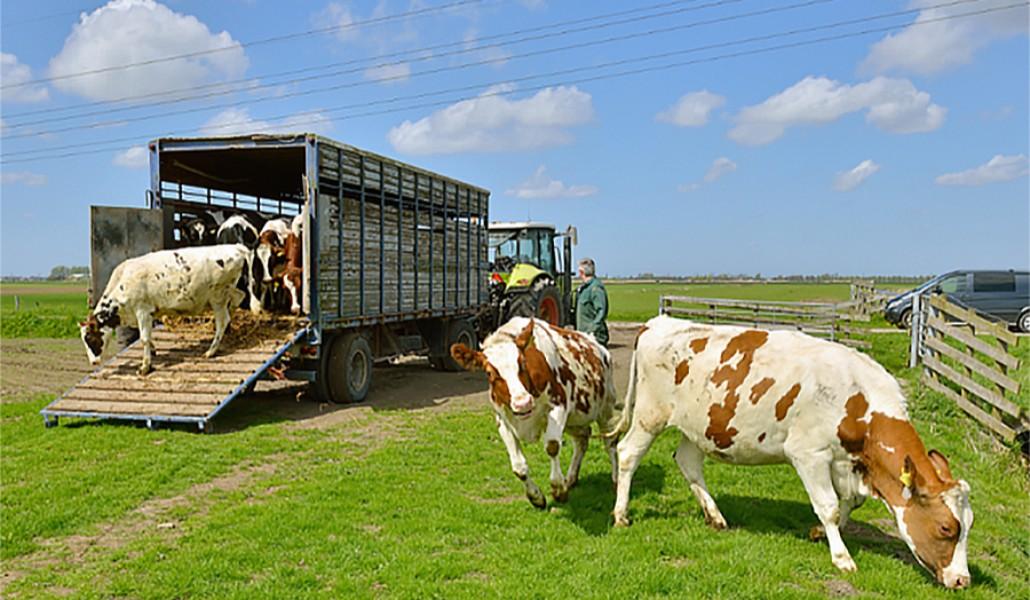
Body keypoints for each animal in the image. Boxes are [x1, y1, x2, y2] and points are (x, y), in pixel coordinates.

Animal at [79, 245, 251, 375]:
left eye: (89, 338)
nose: (93, 362)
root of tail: (237, 247)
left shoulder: (143, 311)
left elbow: (144, 338)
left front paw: (145, 367)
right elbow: (146, 336)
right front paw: (153, 350)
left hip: (217, 297)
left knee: (222, 321)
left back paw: (211, 351)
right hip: (230, 291)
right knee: (237, 299)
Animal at [450, 317, 622, 508]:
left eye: (523, 363)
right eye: (489, 373)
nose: (522, 403)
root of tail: (598, 346)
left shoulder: (558, 406)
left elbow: (552, 446)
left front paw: (558, 489)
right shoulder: (502, 420)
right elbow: (518, 467)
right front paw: (536, 496)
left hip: (606, 407)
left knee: (610, 441)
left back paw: (616, 479)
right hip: (574, 418)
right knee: (582, 439)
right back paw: (570, 478)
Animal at [610, 315, 973, 589]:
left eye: (968, 524)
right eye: (946, 528)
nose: (962, 581)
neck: (857, 397)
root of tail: (658, 323)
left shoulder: (847, 462)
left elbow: (849, 503)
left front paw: (822, 533)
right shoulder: (809, 453)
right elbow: (828, 506)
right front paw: (842, 557)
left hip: (700, 427)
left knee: (687, 463)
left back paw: (715, 516)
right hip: (650, 414)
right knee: (627, 453)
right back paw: (621, 515)